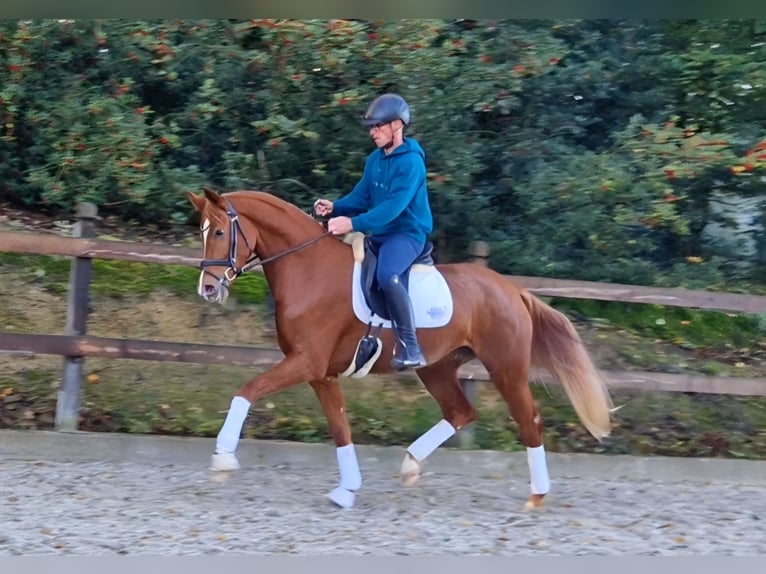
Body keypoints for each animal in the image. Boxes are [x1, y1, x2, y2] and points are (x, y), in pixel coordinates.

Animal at [186, 186, 614, 510]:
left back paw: (537, 495)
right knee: (461, 412)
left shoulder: (305, 362)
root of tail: (513, 290)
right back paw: (410, 464)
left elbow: (247, 390)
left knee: (529, 421)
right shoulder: (322, 373)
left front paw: (223, 456)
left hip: (505, 368)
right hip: (437, 367)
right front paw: (347, 489)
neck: (309, 269)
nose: (207, 289)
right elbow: (340, 428)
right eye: (203, 232)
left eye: (220, 232)